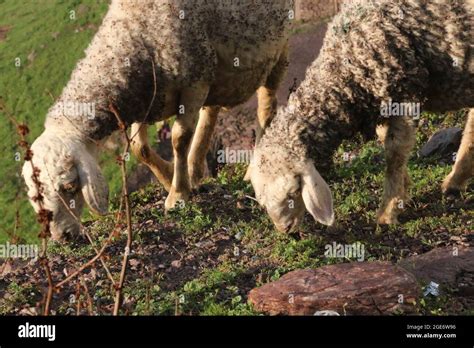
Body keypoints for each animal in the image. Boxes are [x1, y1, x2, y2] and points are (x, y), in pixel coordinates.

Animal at [23, 0, 292, 239]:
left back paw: (250, 169)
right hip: (218, 74)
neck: (135, 35)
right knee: (211, 112)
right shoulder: (145, 99)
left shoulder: (194, 84)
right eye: (34, 196)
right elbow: (139, 148)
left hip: (277, 52)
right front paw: (169, 177)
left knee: (265, 109)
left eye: (69, 186)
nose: (62, 237)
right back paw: (194, 170)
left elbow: (179, 139)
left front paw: (177, 195)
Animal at [248, 0, 474, 234]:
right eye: (262, 200)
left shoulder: (404, 95)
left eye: (293, 191)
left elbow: (395, 153)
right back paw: (456, 179)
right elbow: (386, 141)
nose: (285, 229)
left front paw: (388, 212)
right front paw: (403, 190)